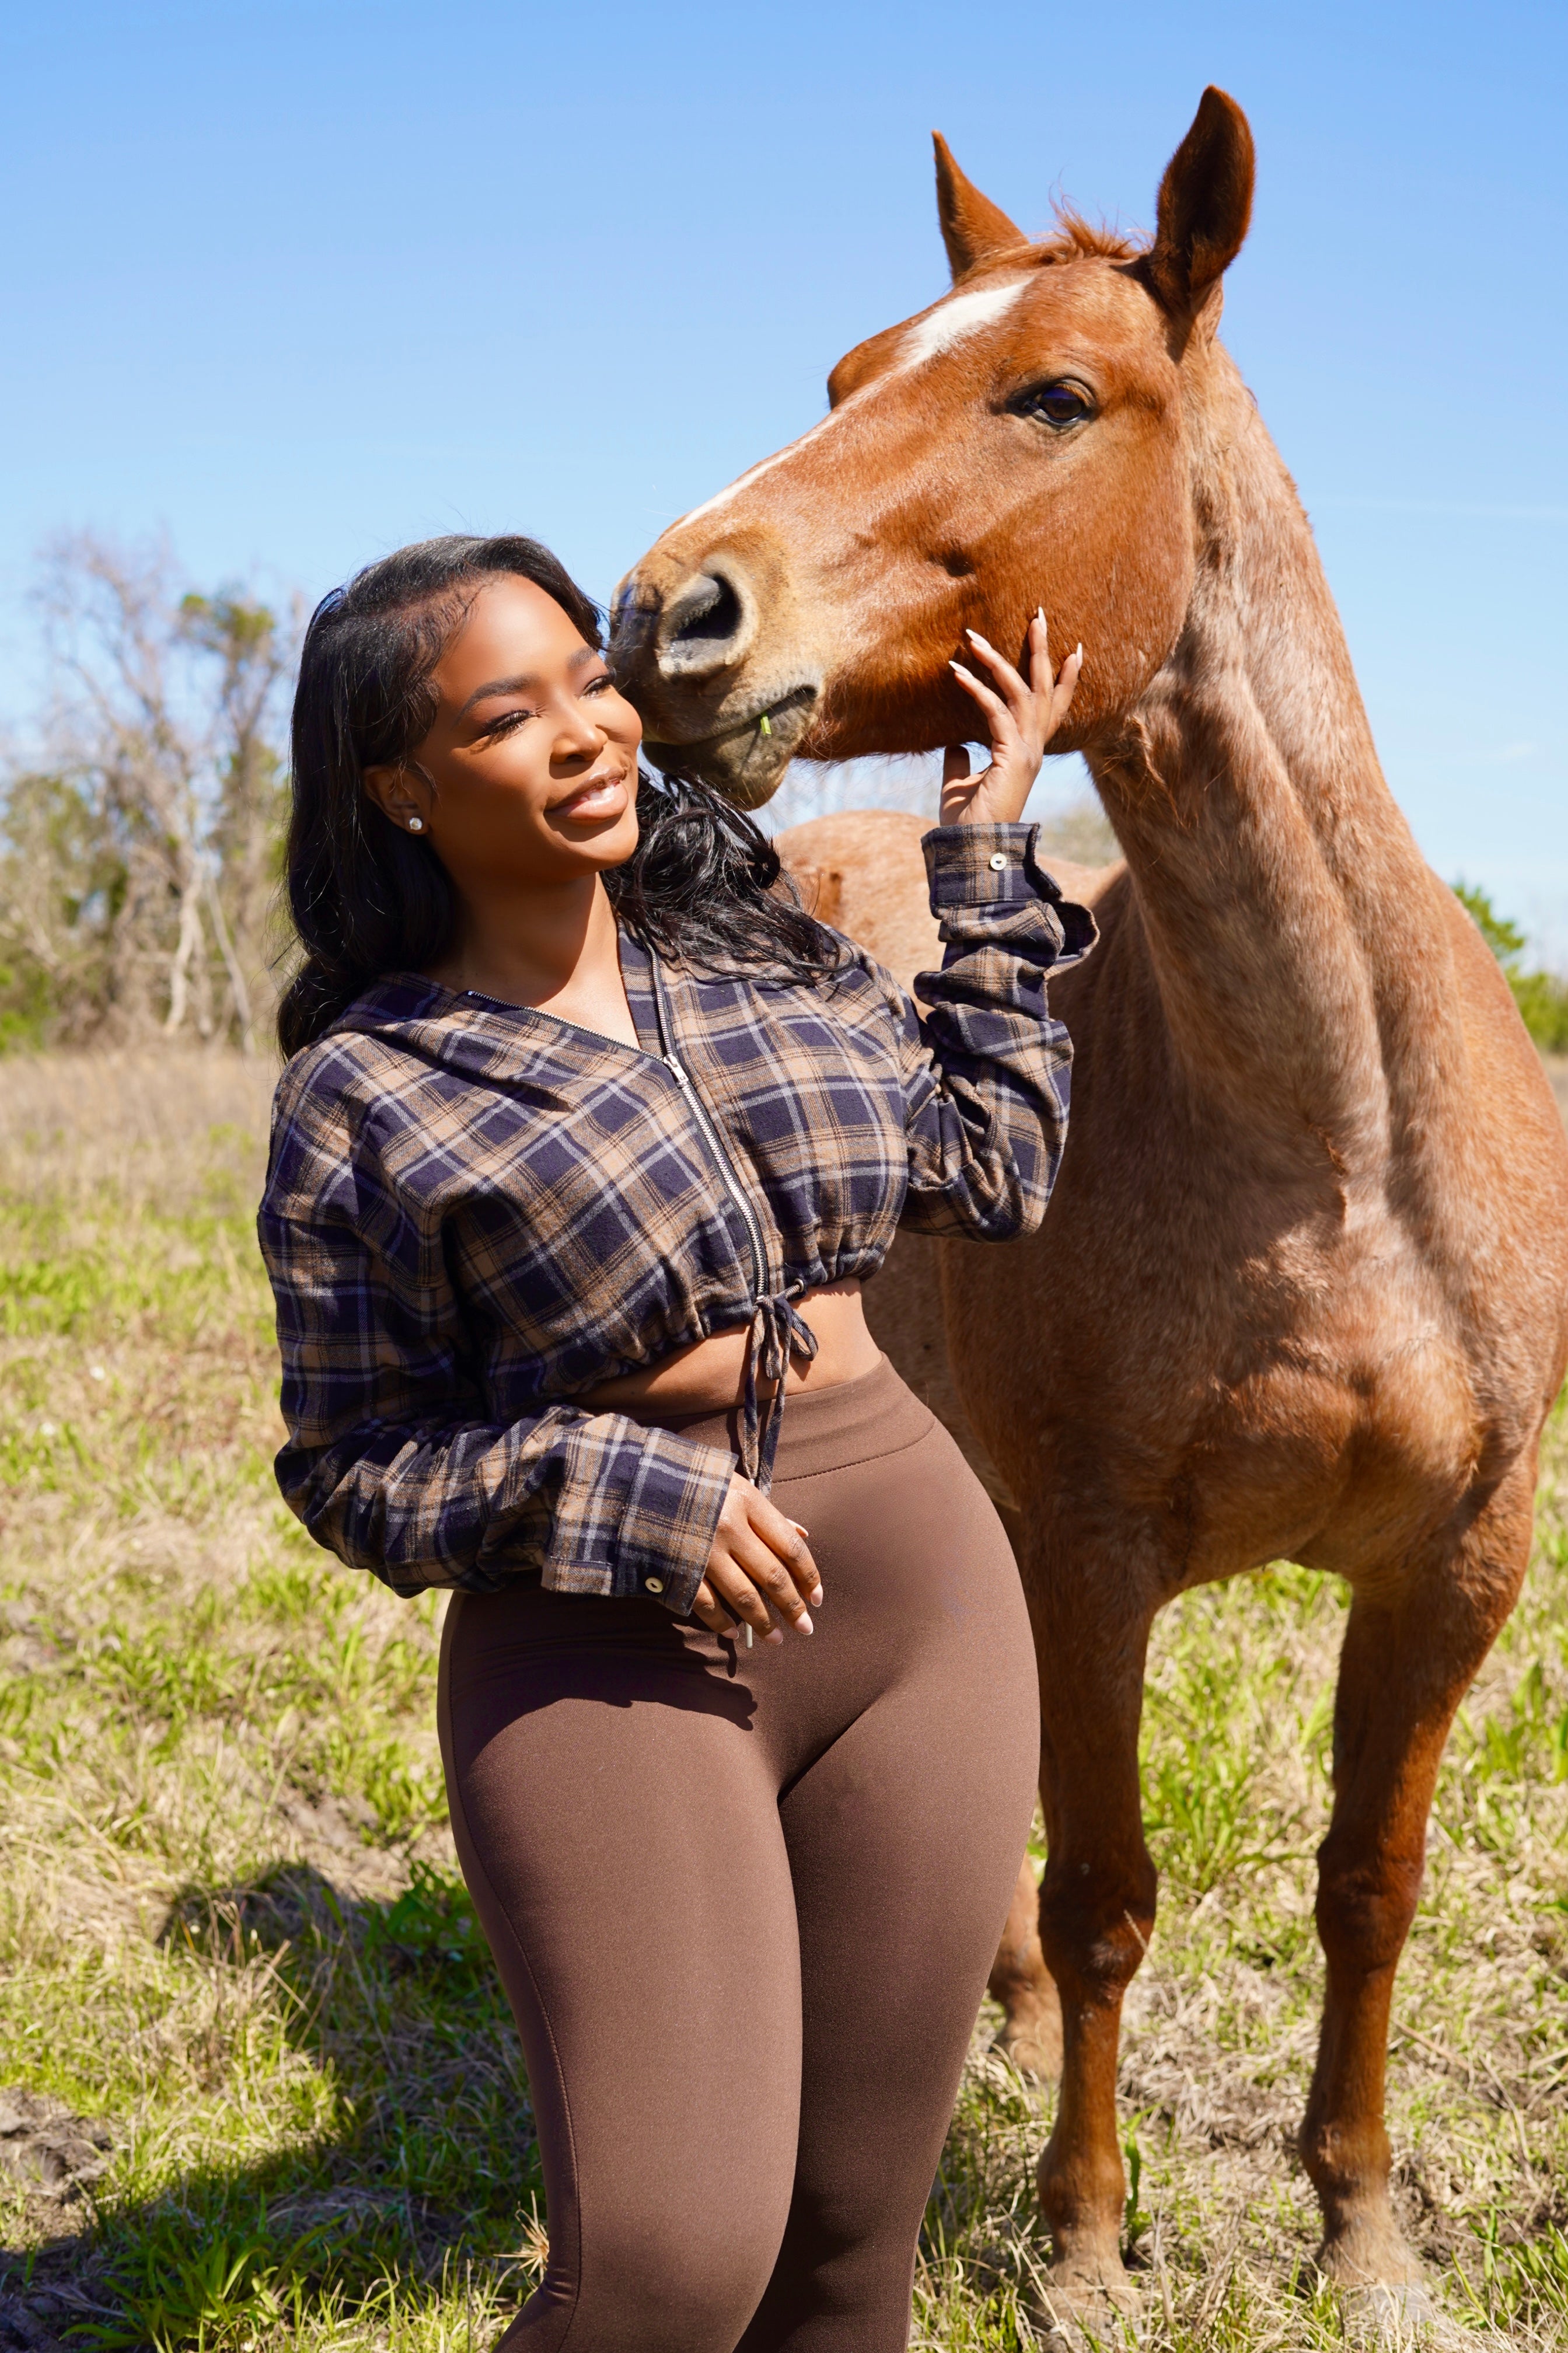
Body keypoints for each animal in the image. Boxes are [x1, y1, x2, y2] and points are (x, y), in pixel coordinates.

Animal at [607, 92, 1563, 2315]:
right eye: (843, 378)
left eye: (1052, 394)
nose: (667, 610)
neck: (1330, 1148)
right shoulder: (1095, 1555)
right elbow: (1110, 1889)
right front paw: (1078, 2243)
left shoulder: (1455, 1571)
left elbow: (1367, 1888)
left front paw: (1361, 2239)